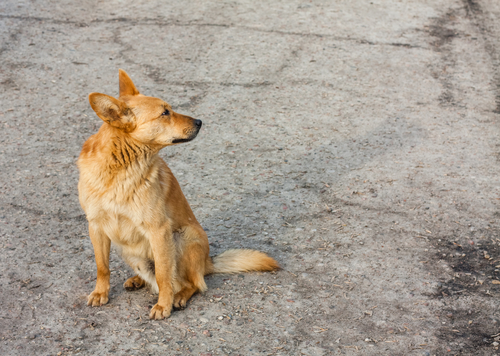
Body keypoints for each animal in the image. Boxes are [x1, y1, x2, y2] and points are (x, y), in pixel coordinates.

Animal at [80, 70, 280, 320]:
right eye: (165, 113)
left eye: (170, 109)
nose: (200, 122)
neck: (120, 169)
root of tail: (207, 262)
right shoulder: (95, 226)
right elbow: (102, 266)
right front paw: (101, 292)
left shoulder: (159, 230)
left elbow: (164, 275)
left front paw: (163, 305)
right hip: (128, 250)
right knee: (154, 275)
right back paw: (138, 280)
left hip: (181, 238)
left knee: (192, 283)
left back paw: (179, 296)